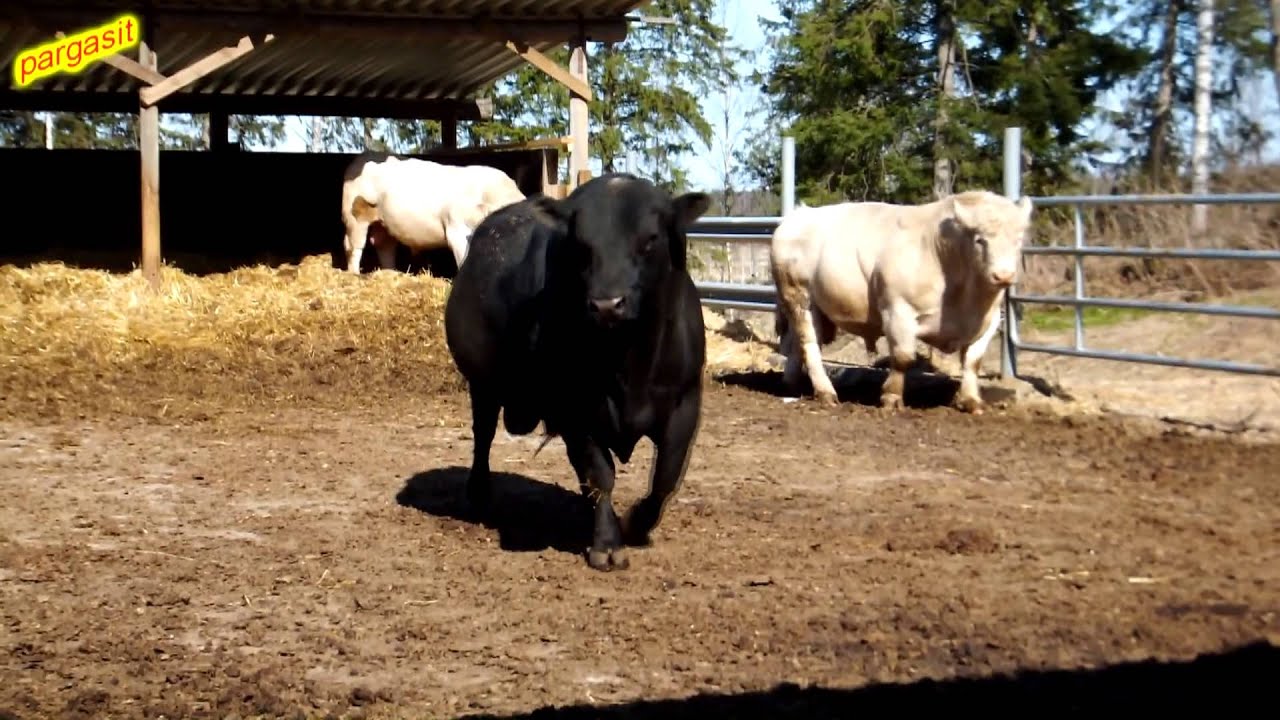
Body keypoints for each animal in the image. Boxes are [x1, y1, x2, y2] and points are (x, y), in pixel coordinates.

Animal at [340, 152, 526, 273]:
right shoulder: (456, 230)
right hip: (354, 215)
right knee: (353, 246)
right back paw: (355, 274)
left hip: (383, 222)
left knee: (384, 246)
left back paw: (390, 273)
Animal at [444, 173, 711, 572]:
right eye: (581, 244)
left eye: (650, 238)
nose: (607, 304)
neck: (629, 360)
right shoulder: (574, 411)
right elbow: (600, 474)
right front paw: (607, 544)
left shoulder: (685, 403)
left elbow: (666, 476)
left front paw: (635, 525)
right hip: (483, 385)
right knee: (484, 435)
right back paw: (478, 492)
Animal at [770, 190, 1032, 414]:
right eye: (980, 240)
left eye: (1019, 239)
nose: (1003, 275)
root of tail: (798, 215)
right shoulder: (898, 309)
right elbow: (903, 356)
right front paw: (892, 398)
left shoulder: (989, 321)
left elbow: (973, 362)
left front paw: (971, 401)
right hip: (799, 297)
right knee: (809, 343)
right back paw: (825, 392)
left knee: (797, 343)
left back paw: (792, 383)